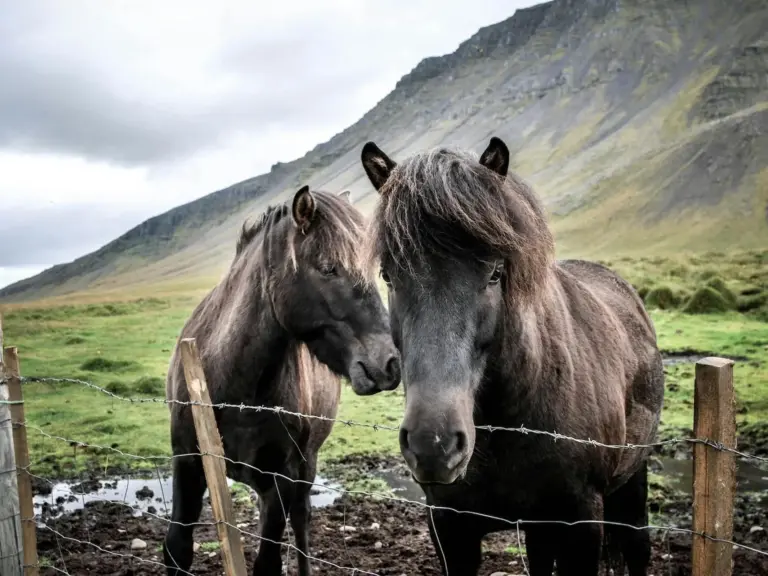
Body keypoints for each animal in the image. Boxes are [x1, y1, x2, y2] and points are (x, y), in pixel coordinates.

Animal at [162, 186, 401, 576]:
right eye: (328, 268)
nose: (390, 363)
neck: (236, 389)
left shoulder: (282, 477)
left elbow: (269, 560)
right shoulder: (188, 462)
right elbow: (177, 548)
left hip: (304, 468)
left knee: (301, 525)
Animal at [359, 137, 665, 576]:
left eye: (495, 273)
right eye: (388, 275)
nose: (433, 445)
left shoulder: (582, 524)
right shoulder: (450, 528)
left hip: (632, 482)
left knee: (638, 547)